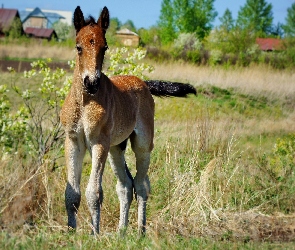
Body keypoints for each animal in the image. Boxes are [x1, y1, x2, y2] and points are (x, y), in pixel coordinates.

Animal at [60, 5, 197, 234]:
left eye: (104, 47)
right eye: (78, 47)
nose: (92, 82)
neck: (85, 102)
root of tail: (143, 82)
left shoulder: (99, 143)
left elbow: (93, 193)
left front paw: (94, 235)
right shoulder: (73, 142)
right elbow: (72, 194)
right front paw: (71, 233)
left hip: (142, 144)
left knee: (141, 185)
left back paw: (140, 231)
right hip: (116, 148)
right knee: (125, 185)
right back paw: (121, 233)